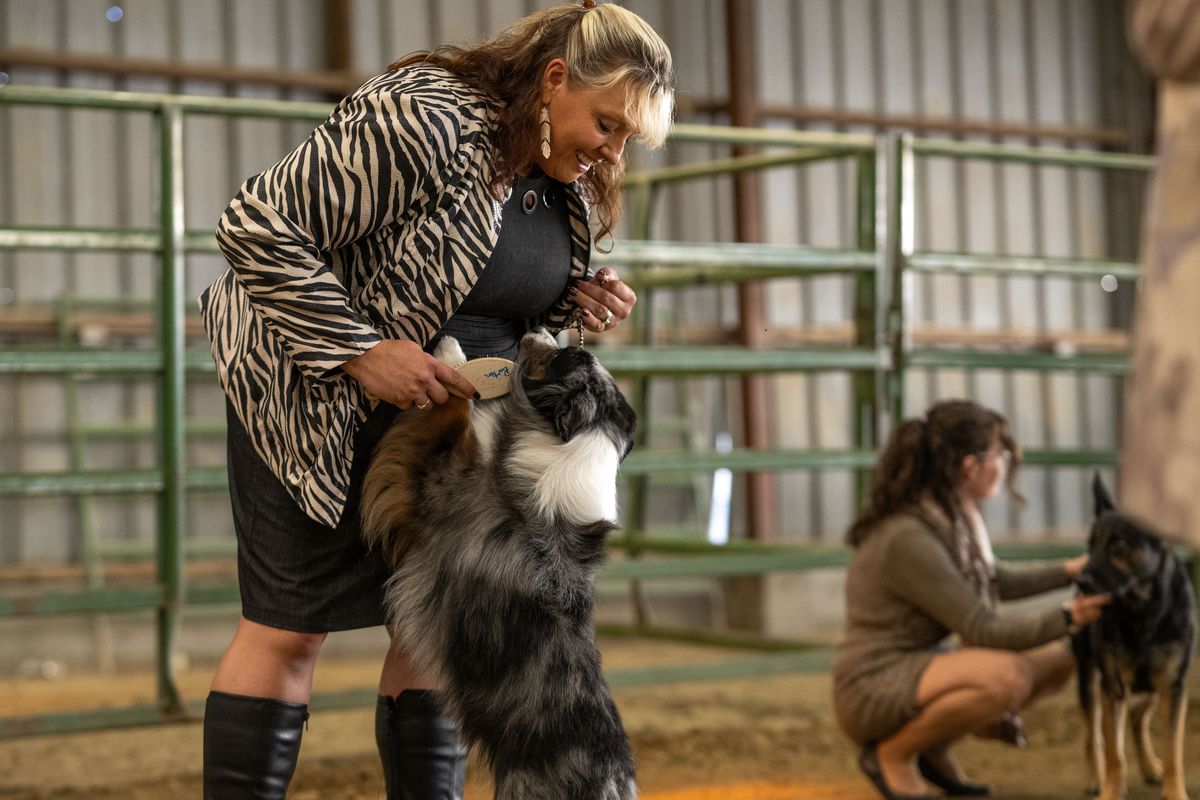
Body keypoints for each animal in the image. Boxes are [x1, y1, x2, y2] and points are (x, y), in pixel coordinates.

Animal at [357, 328, 638, 796]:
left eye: (564, 355)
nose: (539, 329)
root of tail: (613, 781)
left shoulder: (437, 484)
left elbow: (454, 407)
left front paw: (447, 355)